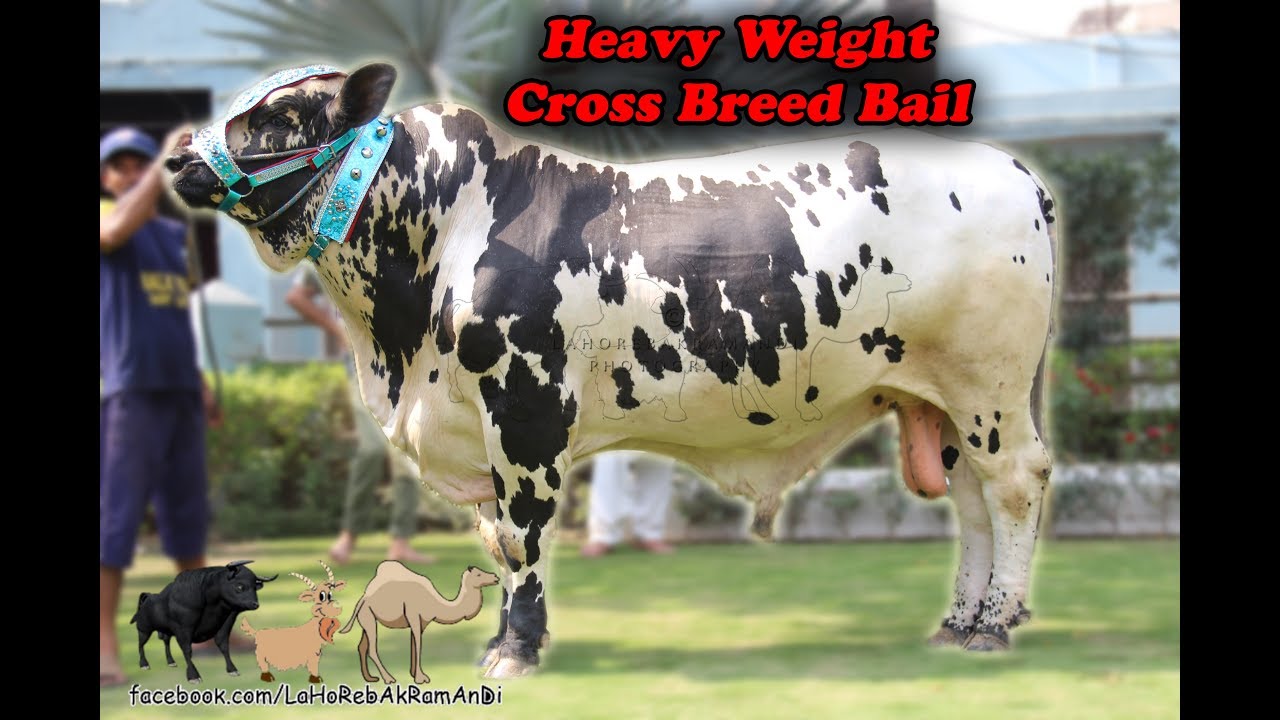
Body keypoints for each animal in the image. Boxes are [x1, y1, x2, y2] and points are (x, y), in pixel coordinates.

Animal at [131, 560, 277, 683]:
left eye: (255, 587)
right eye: (240, 586)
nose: (255, 604)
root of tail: (148, 597)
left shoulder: (225, 625)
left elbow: (223, 646)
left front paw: (233, 670)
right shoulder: (184, 630)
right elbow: (187, 650)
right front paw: (193, 676)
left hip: (164, 631)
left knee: (166, 642)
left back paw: (171, 662)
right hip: (144, 630)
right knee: (140, 645)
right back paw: (144, 664)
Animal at [167, 63, 1058, 679]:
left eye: (280, 116)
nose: (178, 159)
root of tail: (1013, 170)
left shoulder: (525, 410)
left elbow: (522, 537)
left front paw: (516, 652)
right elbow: (498, 542)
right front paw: (501, 639)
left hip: (990, 390)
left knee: (1016, 486)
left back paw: (994, 623)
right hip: (939, 400)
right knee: (972, 505)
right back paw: (957, 621)